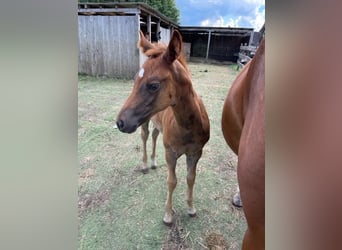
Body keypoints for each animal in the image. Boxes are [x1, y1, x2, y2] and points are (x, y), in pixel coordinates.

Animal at [116, 30, 210, 226]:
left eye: (153, 85)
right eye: (135, 80)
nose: (120, 122)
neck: (187, 127)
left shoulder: (196, 153)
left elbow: (191, 178)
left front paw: (191, 208)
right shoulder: (170, 152)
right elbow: (172, 181)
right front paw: (168, 215)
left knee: (154, 135)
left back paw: (153, 162)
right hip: (143, 121)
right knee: (145, 136)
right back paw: (145, 164)